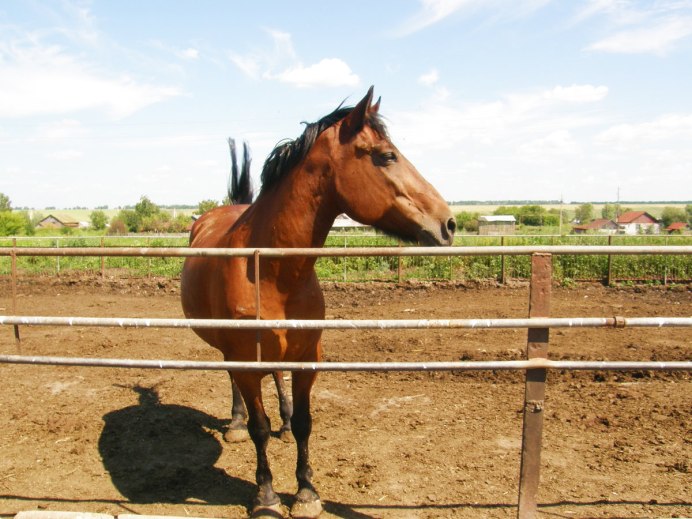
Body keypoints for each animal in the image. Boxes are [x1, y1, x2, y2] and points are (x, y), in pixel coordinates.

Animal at [181, 87, 456, 516]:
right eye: (386, 156)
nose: (448, 223)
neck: (272, 271)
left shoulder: (308, 356)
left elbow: (305, 423)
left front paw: (307, 492)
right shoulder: (245, 359)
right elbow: (259, 428)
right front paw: (266, 496)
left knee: (277, 382)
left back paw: (281, 418)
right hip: (232, 352)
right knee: (236, 386)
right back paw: (236, 424)